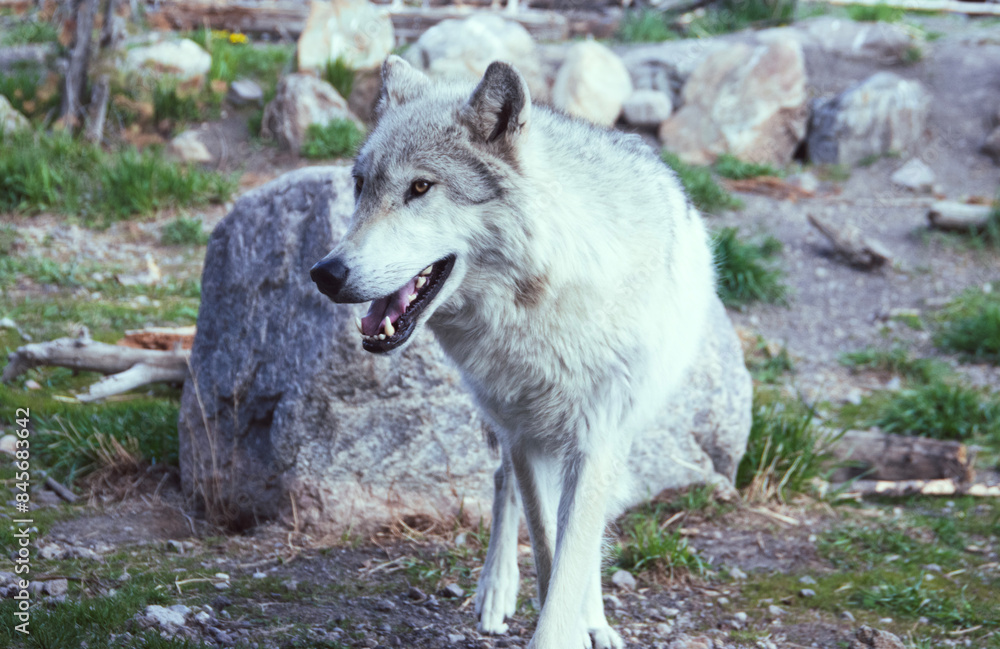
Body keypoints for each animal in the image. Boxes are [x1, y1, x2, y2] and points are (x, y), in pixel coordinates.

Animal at [310, 56, 716, 649]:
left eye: (421, 187)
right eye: (361, 186)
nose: (325, 272)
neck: (539, 305)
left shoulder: (595, 442)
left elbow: (572, 558)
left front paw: (576, 623)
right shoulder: (524, 436)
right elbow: (546, 551)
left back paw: (594, 618)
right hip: (506, 424)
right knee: (505, 484)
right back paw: (496, 590)